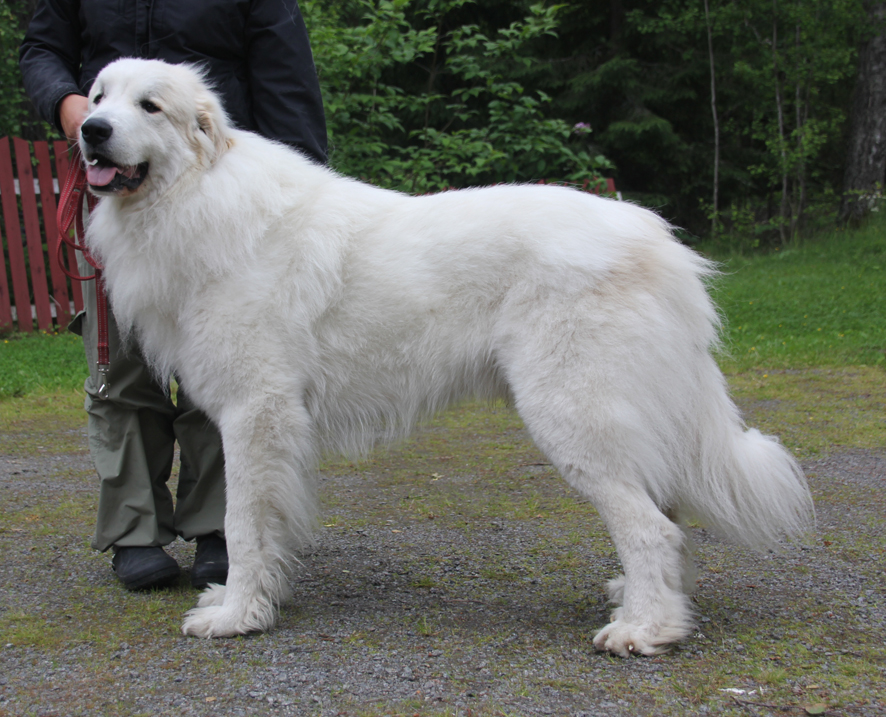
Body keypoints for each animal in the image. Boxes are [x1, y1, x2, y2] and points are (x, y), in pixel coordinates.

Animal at [80, 60, 816, 656]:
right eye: (98, 96)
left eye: (150, 106)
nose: (89, 129)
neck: (195, 195)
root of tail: (659, 240)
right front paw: (251, 599)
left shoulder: (254, 413)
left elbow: (241, 523)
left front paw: (236, 614)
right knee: (665, 516)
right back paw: (649, 603)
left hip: (573, 415)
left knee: (651, 527)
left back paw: (645, 629)